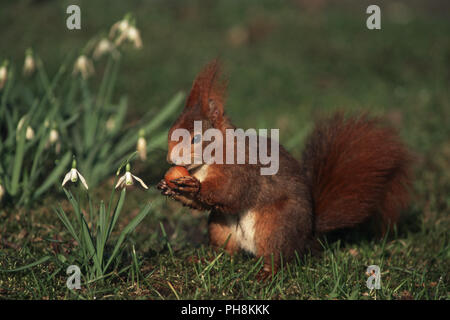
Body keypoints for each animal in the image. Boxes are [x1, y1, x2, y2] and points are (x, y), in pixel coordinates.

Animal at [156, 59, 414, 278]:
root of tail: (307, 235)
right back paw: (205, 260)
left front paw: (192, 186)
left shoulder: (242, 168)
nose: (170, 159)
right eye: (170, 133)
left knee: (277, 258)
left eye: (197, 138)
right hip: (220, 227)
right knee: (226, 253)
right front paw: (169, 188)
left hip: (275, 227)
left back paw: (267, 274)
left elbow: (230, 192)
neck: (206, 164)